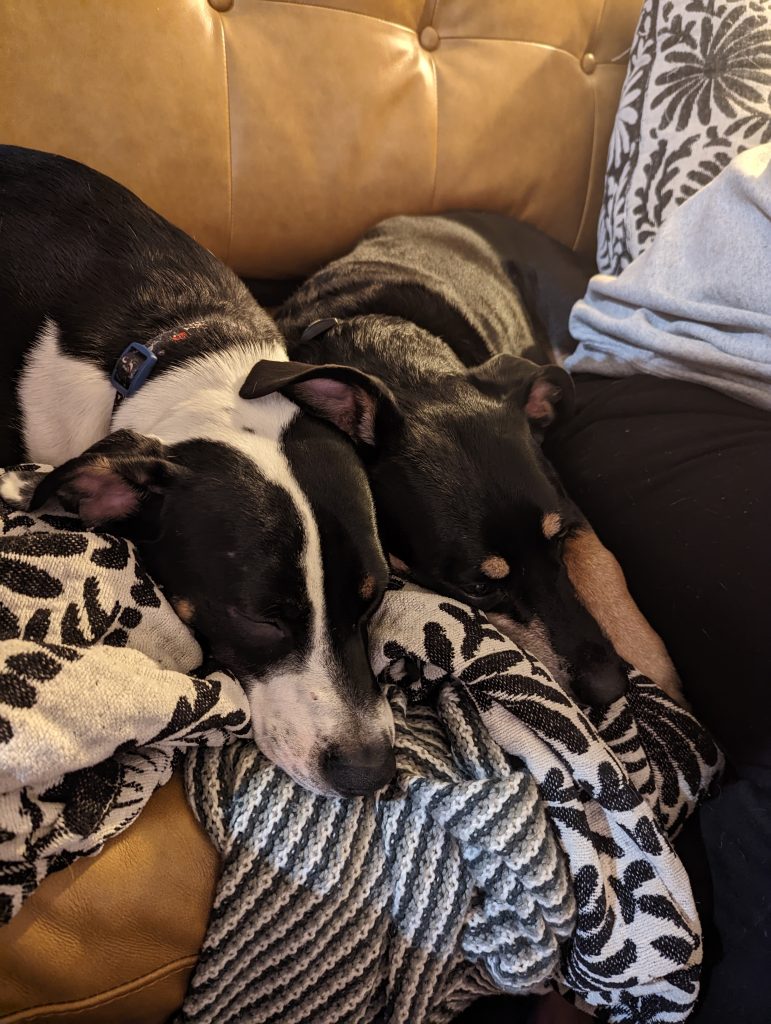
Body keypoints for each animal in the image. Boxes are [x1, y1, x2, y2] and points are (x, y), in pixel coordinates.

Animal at [250, 211, 679, 708]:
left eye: (556, 540)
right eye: (478, 588)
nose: (609, 688)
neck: (403, 362)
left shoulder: (567, 507)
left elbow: (604, 568)